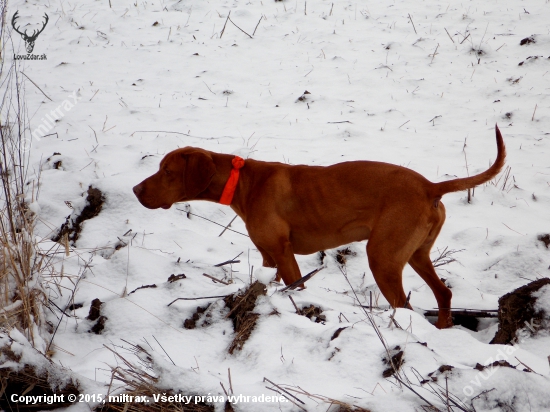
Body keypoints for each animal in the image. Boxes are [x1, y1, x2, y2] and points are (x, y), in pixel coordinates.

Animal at [135, 125, 508, 328]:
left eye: (166, 171)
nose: (137, 190)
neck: (245, 182)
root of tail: (430, 186)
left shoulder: (284, 255)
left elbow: (297, 287)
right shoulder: (269, 257)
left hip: (383, 259)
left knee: (406, 306)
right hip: (416, 254)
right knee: (443, 293)